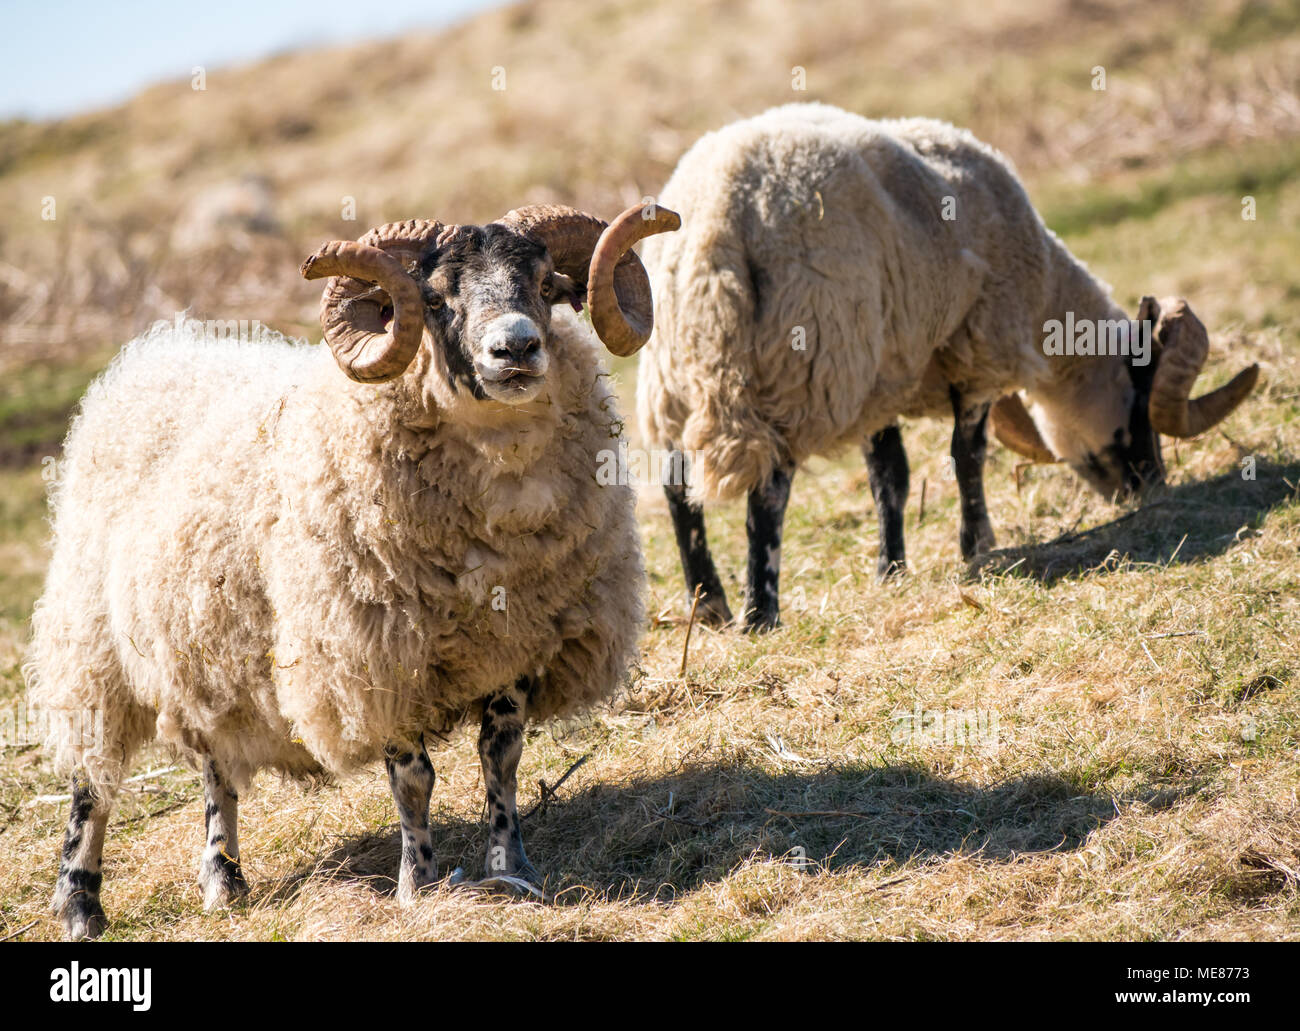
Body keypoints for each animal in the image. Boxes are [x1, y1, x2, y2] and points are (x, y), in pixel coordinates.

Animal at [27, 197, 681, 936]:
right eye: (435, 298)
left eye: (546, 286)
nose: (515, 348)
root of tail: (160, 348)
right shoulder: (374, 654)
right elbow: (413, 780)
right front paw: (418, 884)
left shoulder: (517, 640)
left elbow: (502, 758)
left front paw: (512, 869)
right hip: (92, 650)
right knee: (92, 781)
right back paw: (80, 903)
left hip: (205, 648)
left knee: (216, 766)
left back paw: (223, 879)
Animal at [639, 106, 1258, 634]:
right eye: (1138, 411)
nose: (1148, 489)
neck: (1047, 303)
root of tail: (720, 216)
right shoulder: (980, 351)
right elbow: (968, 456)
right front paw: (978, 545)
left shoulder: (884, 374)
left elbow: (890, 476)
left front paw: (892, 570)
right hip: (804, 363)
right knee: (767, 492)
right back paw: (759, 613)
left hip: (677, 375)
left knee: (676, 487)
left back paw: (708, 605)